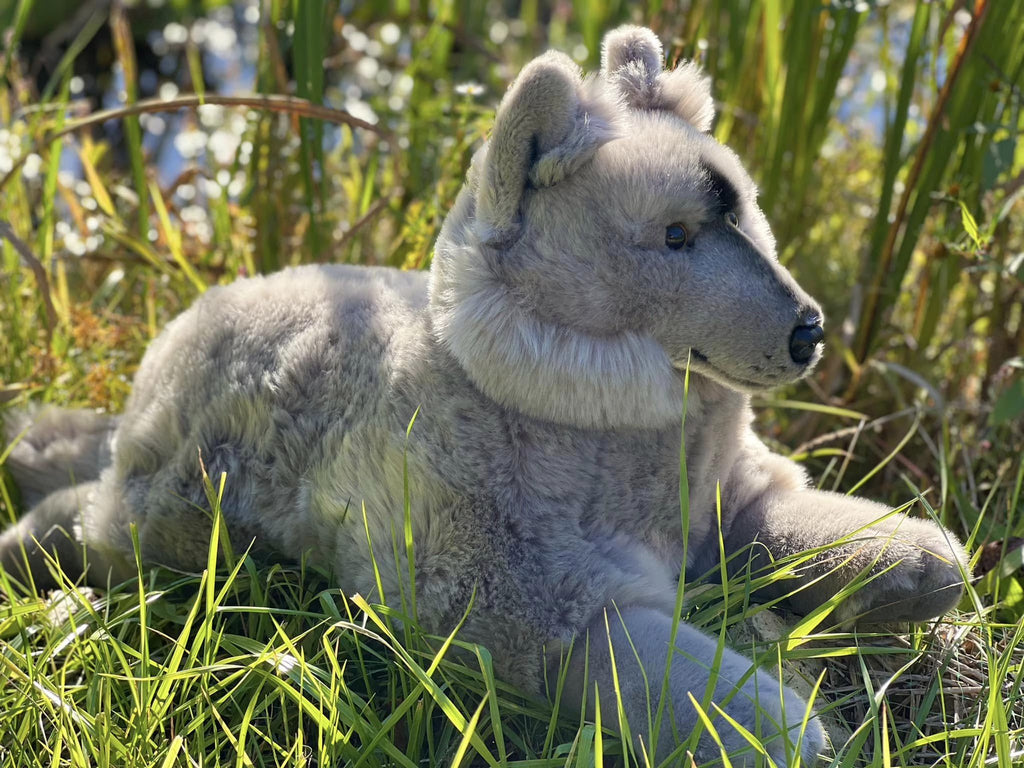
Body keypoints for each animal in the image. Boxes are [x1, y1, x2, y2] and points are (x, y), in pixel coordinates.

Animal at [1, 26, 967, 766]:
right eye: (674, 237)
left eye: (748, 212)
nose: (808, 333)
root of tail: (172, 347)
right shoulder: (516, 603)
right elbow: (661, 672)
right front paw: (786, 730)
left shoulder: (726, 499)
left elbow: (798, 530)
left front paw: (915, 562)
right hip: (168, 514)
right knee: (84, 515)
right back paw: (23, 533)